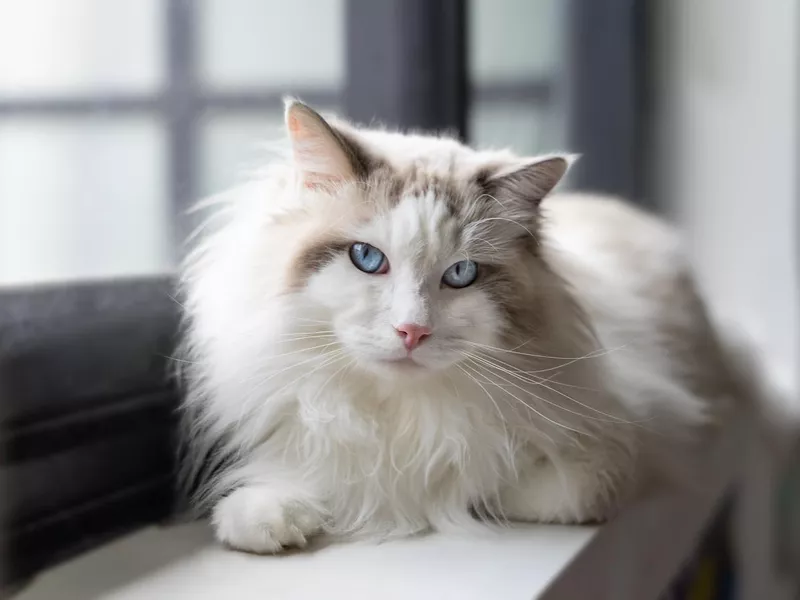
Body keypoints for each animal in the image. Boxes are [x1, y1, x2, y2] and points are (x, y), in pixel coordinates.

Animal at [178, 98, 736, 552]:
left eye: (461, 274)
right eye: (367, 258)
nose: (412, 332)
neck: (403, 415)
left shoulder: (627, 452)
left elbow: (504, 486)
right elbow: (297, 481)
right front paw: (273, 517)